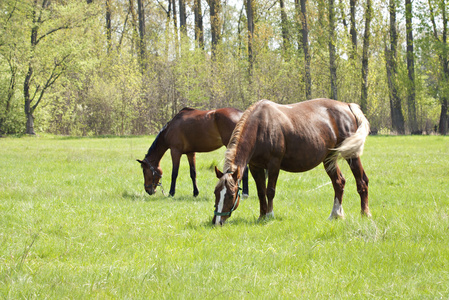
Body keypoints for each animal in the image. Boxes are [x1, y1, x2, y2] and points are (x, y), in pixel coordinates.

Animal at [212, 98, 370, 225]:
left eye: (231, 195)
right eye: (216, 192)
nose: (216, 221)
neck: (261, 126)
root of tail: (347, 106)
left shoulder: (274, 164)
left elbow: (270, 191)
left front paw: (269, 215)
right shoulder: (255, 167)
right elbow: (261, 192)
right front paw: (261, 216)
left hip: (352, 155)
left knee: (362, 182)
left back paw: (365, 214)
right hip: (329, 158)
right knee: (338, 183)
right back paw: (335, 214)